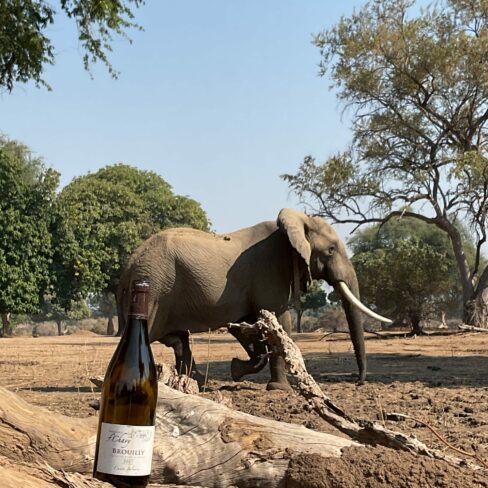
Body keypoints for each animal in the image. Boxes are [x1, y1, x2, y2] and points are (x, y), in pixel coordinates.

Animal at [116, 208, 390, 390]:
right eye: (331, 250)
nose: (358, 382)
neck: (296, 224)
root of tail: (128, 265)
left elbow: (250, 326)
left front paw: (237, 369)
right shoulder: (270, 271)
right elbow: (278, 322)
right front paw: (279, 390)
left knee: (179, 341)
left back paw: (197, 382)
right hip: (155, 288)